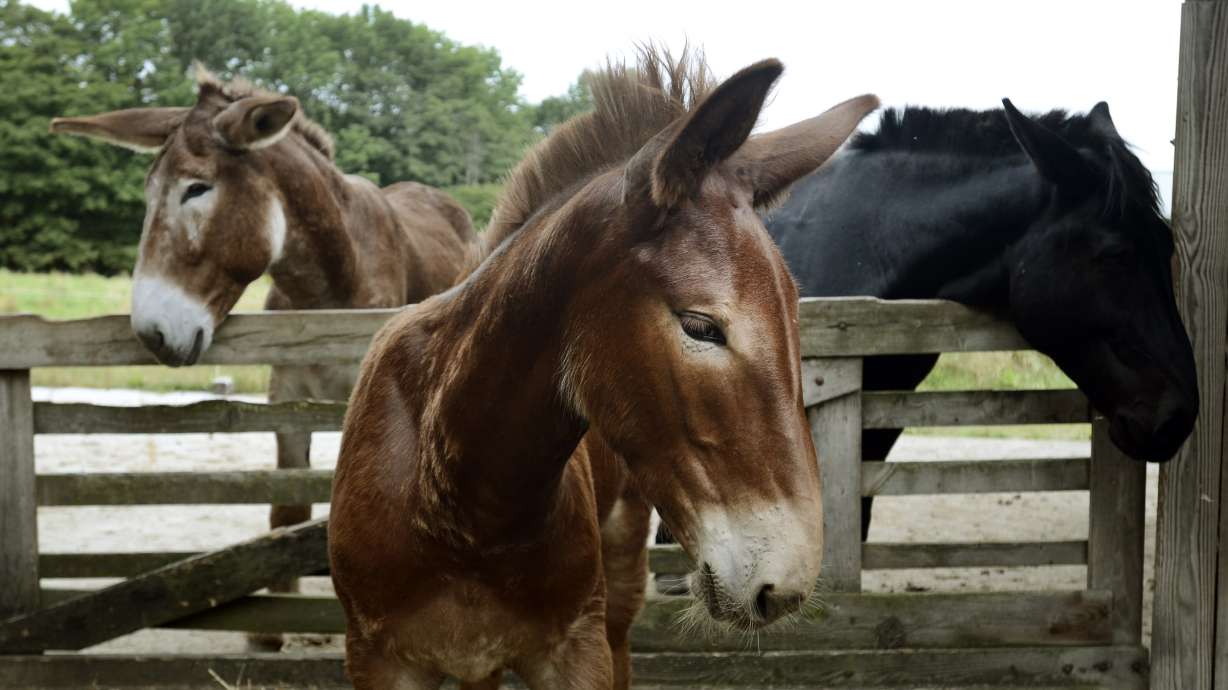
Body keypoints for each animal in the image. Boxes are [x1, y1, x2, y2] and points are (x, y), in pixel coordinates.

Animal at [50, 67, 479, 643]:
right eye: (146, 193)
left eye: (197, 187)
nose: (151, 335)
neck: (323, 289)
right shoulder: (288, 397)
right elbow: (288, 508)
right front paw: (274, 624)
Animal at [328, 48, 878, 689]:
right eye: (700, 327)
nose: (785, 587)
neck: (465, 511)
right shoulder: (379, 659)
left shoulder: (577, 647)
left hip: (619, 579)